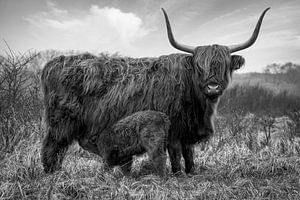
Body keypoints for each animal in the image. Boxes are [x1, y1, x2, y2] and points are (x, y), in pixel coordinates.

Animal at [40, 7, 270, 174]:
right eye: (199, 67)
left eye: (223, 66)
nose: (212, 86)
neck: (200, 107)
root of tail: (54, 62)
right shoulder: (173, 128)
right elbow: (176, 154)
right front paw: (177, 174)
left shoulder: (187, 130)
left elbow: (189, 154)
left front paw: (191, 172)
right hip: (61, 122)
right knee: (52, 147)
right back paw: (53, 174)